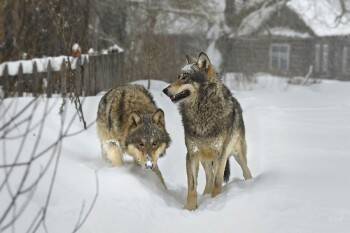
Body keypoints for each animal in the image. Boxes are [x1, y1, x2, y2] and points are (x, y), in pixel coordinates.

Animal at [161, 52, 252, 209]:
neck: (202, 111)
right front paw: (190, 208)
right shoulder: (192, 154)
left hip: (237, 155)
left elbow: (218, 182)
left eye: (185, 77)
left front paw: (215, 203)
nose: (165, 90)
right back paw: (206, 196)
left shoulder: (221, 154)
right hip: (205, 160)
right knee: (209, 178)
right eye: (178, 76)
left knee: (246, 172)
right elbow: (192, 186)